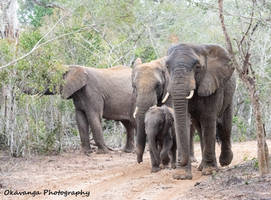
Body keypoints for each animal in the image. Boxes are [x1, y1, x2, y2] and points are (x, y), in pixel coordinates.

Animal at [166, 43, 236, 180]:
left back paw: (225, 162)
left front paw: (209, 172)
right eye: (167, 67)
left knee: (225, 125)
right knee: (200, 128)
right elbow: (184, 119)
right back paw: (200, 167)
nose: (180, 162)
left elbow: (208, 119)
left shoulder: (213, 84)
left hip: (229, 94)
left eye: (197, 67)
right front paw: (181, 176)